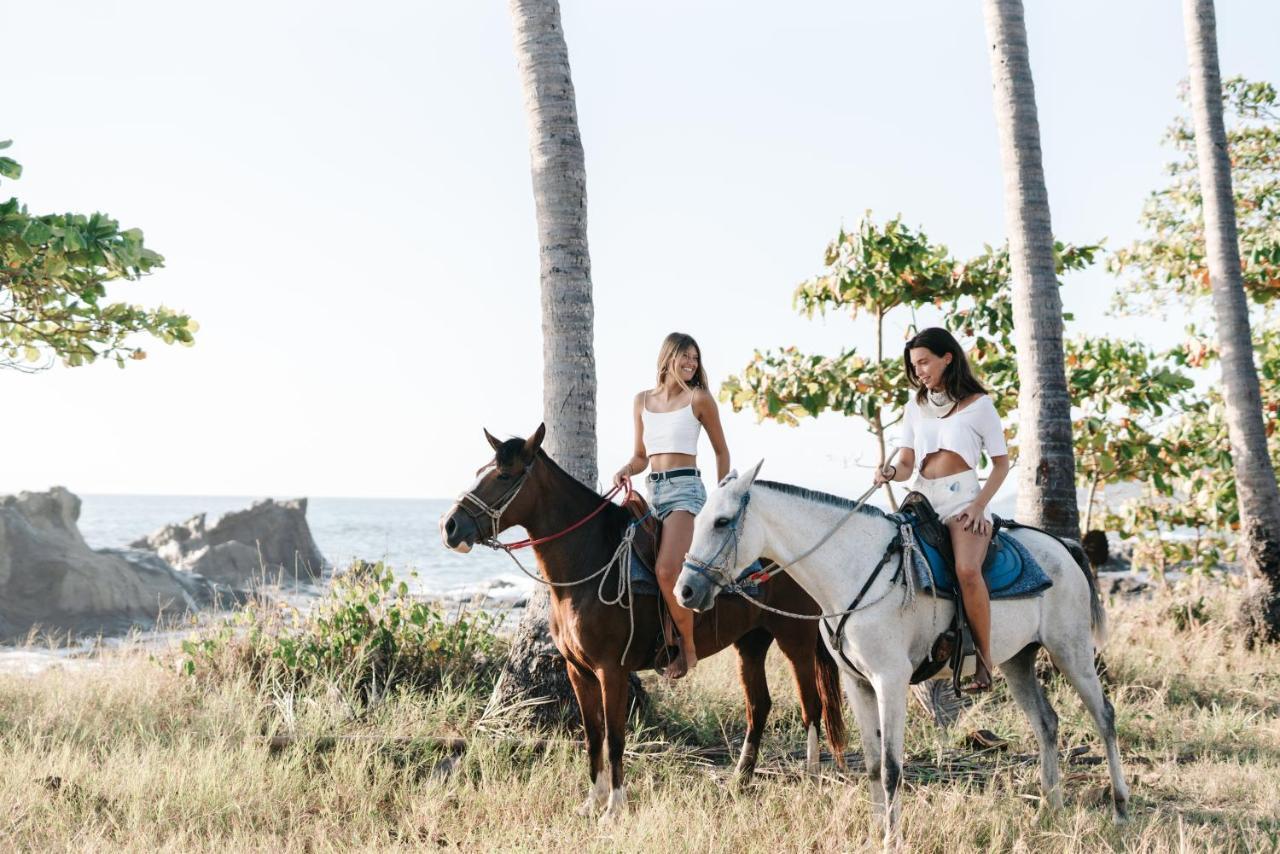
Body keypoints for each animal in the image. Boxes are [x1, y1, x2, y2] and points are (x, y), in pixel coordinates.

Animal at [440, 425, 849, 819]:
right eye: (480, 472)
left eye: (504, 475)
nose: (450, 526)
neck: (590, 562)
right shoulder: (577, 670)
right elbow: (593, 735)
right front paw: (591, 802)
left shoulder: (611, 670)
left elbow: (615, 738)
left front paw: (613, 807)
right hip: (751, 642)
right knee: (759, 706)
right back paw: (739, 781)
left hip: (795, 638)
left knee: (811, 707)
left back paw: (812, 780)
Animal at [675, 460, 1126, 839]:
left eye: (722, 521)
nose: (686, 591)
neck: (854, 568)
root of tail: (1063, 545)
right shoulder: (857, 683)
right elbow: (875, 766)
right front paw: (876, 834)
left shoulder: (890, 681)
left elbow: (893, 769)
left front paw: (892, 838)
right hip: (1018, 659)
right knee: (1046, 722)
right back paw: (1050, 810)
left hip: (1071, 650)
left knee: (1104, 717)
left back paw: (1120, 808)